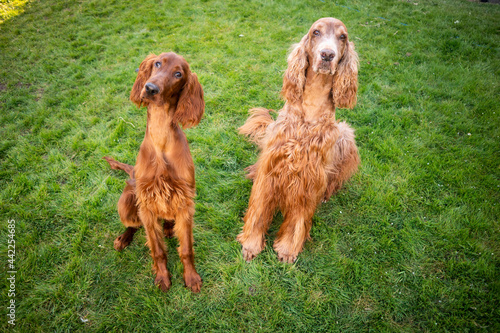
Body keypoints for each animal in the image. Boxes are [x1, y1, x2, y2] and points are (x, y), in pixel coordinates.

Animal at [104, 52, 204, 290]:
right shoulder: (147, 203)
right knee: (133, 224)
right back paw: (123, 238)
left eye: (178, 74)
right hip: (126, 203)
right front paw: (162, 277)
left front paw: (191, 277)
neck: (161, 140)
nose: (150, 88)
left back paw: (168, 227)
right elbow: (157, 249)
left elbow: (186, 249)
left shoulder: (185, 202)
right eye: (158, 63)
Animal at [238, 18, 360, 262]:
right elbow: (259, 207)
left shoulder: (309, 176)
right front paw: (251, 243)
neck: (310, 110)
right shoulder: (271, 167)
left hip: (345, 135)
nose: (327, 55)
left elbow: (298, 218)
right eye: (316, 32)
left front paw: (287, 249)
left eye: (342, 37)